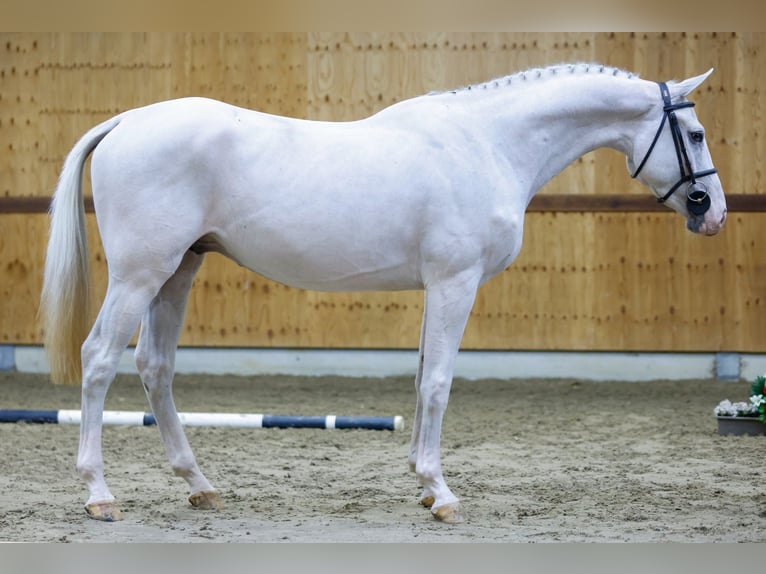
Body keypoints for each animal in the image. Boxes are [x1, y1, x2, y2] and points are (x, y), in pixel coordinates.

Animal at [39, 63, 728, 528]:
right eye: (694, 134)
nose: (713, 212)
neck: (486, 144)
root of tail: (126, 121)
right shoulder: (454, 283)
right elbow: (439, 382)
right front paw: (441, 493)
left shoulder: (435, 288)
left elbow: (422, 376)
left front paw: (422, 483)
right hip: (140, 275)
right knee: (99, 359)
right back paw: (99, 493)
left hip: (177, 272)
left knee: (155, 368)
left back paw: (200, 485)